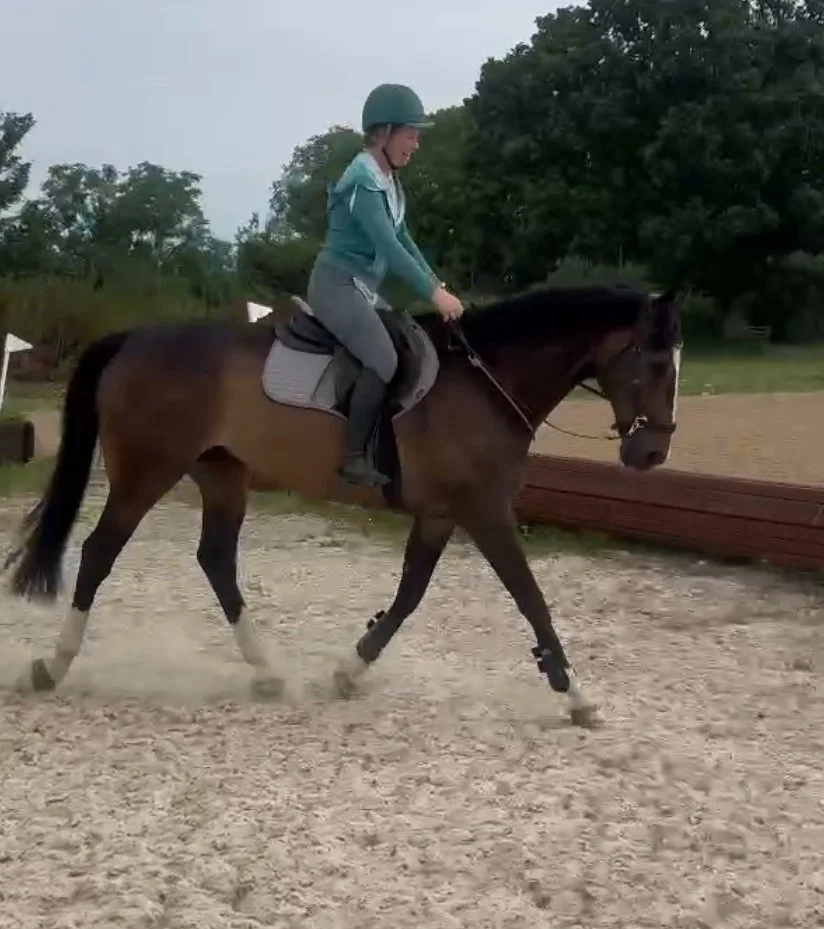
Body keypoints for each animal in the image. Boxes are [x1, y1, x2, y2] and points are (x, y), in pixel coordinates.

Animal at [4, 283, 682, 726]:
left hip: (222, 476)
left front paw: (349, 670)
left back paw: (268, 671)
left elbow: (408, 596)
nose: (651, 453)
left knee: (215, 561)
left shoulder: (440, 516)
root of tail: (134, 340)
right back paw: (53, 666)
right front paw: (578, 696)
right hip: (146, 474)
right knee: (99, 553)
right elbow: (531, 599)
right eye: (652, 362)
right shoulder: (486, 513)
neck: (486, 381)